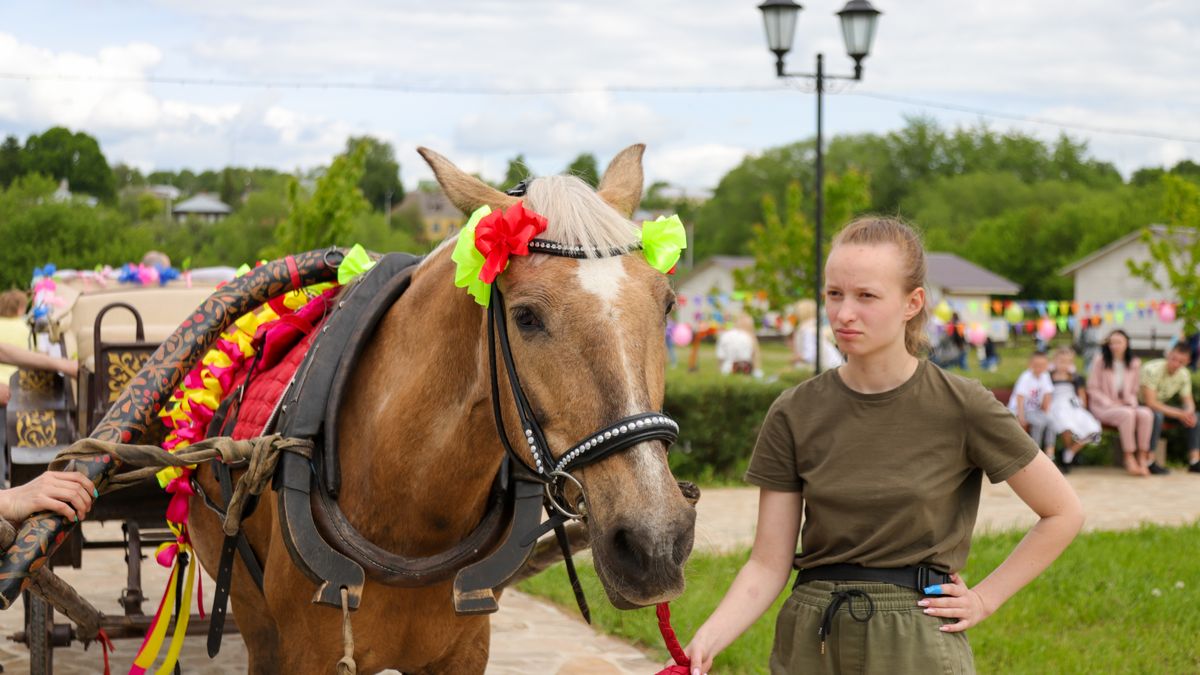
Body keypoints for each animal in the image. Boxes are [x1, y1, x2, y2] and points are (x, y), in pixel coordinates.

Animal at [185, 144, 697, 673]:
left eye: (666, 305)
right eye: (526, 317)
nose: (655, 541)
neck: (412, 509)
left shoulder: (465, 649)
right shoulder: (305, 652)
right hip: (254, 617)